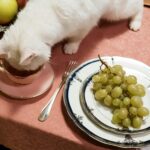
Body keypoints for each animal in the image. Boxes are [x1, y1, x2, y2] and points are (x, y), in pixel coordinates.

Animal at [0, 0, 144, 71]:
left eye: (29, 68)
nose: (37, 70)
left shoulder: (85, 24)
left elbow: (76, 38)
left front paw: (71, 47)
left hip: (116, 12)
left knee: (139, 7)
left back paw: (135, 24)